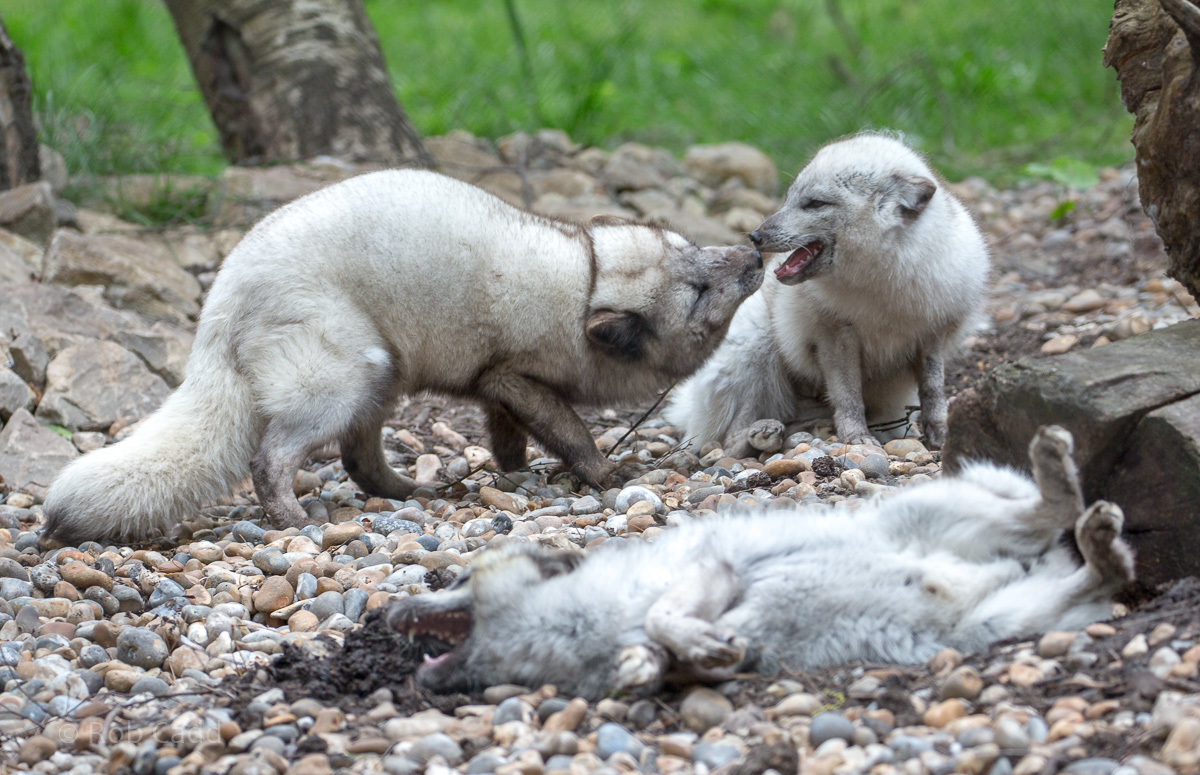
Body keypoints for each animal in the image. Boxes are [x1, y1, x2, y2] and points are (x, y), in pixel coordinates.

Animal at [41, 170, 763, 544]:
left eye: (695, 248)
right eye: (698, 294)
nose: (754, 250)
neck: (583, 285)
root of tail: (217, 311)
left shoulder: (497, 387)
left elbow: (510, 438)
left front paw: (511, 472)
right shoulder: (514, 374)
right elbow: (569, 430)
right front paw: (604, 473)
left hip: (380, 379)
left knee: (359, 461)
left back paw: (407, 491)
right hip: (343, 378)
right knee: (268, 458)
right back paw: (293, 519)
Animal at [388, 426, 1134, 699]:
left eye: (459, 578)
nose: (389, 611)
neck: (562, 629)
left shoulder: (709, 573)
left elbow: (663, 617)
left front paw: (693, 642)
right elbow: (664, 654)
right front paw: (656, 665)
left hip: (941, 515)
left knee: (1053, 506)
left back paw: (1058, 470)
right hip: (1006, 620)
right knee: (1098, 573)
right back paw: (1103, 548)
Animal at [664, 132, 990, 457]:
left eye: (815, 203)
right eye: (789, 198)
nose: (755, 236)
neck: (882, 286)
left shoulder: (931, 334)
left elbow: (933, 391)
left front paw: (942, 436)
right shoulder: (834, 336)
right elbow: (848, 394)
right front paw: (856, 437)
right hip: (759, 347)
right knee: (729, 440)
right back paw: (761, 435)